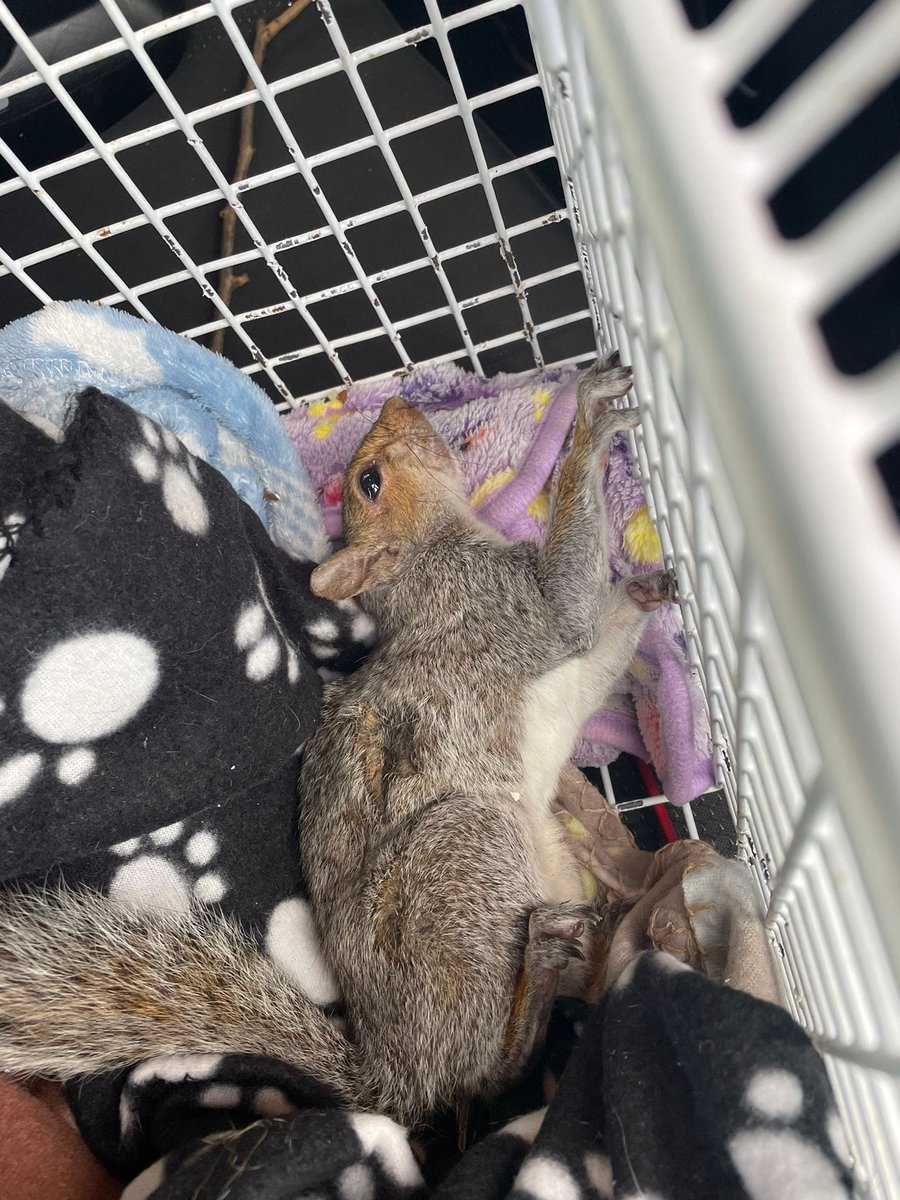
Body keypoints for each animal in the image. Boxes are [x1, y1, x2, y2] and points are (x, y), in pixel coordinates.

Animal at [0, 352, 677, 1127]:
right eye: (369, 482)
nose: (397, 409)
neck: (423, 568)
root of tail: (393, 1079)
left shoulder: (562, 657)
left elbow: (604, 645)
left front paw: (646, 592)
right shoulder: (507, 606)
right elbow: (570, 605)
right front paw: (591, 419)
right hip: (462, 851)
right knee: (488, 1071)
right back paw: (535, 976)